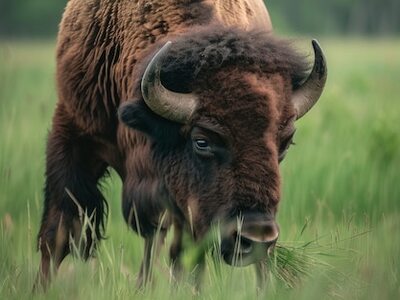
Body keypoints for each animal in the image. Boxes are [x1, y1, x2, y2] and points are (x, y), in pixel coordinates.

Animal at [36, 0, 326, 290]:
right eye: (202, 141)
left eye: (285, 143)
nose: (256, 238)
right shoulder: (73, 131)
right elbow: (58, 231)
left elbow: (182, 252)